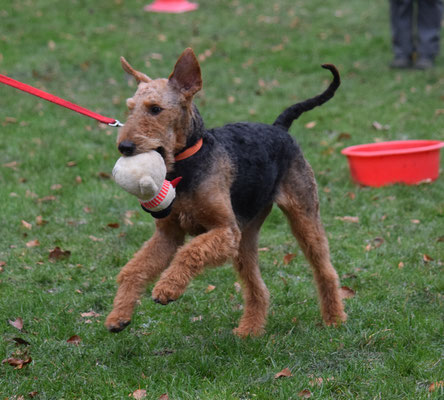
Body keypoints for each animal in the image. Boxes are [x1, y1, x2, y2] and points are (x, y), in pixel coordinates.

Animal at [105, 47, 346, 338]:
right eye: (130, 108)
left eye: (155, 109)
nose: (125, 147)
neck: (187, 163)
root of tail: (279, 128)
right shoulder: (168, 235)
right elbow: (133, 270)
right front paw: (119, 317)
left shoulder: (224, 230)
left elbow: (189, 253)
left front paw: (167, 289)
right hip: (246, 234)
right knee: (257, 286)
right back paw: (250, 330)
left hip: (302, 215)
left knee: (325, 270)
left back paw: (334, 319)